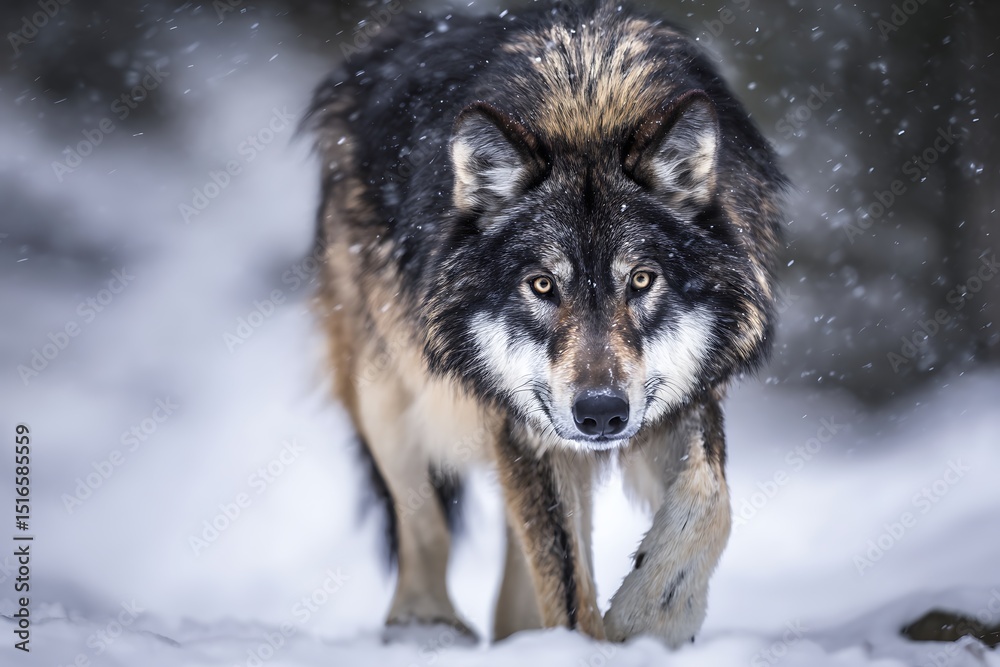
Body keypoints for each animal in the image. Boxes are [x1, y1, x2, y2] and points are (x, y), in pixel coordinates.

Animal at [306, 0, 785, 647]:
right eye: (541, 285)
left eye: (641, 280)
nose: (601, 413)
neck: (586, 103)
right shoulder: (522, 420)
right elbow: (567, 585)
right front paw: (586, 649)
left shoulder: (683, 392)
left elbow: (710, 500)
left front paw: (651, 615)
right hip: (387, 385)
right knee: (421, 520)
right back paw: (425, 627)